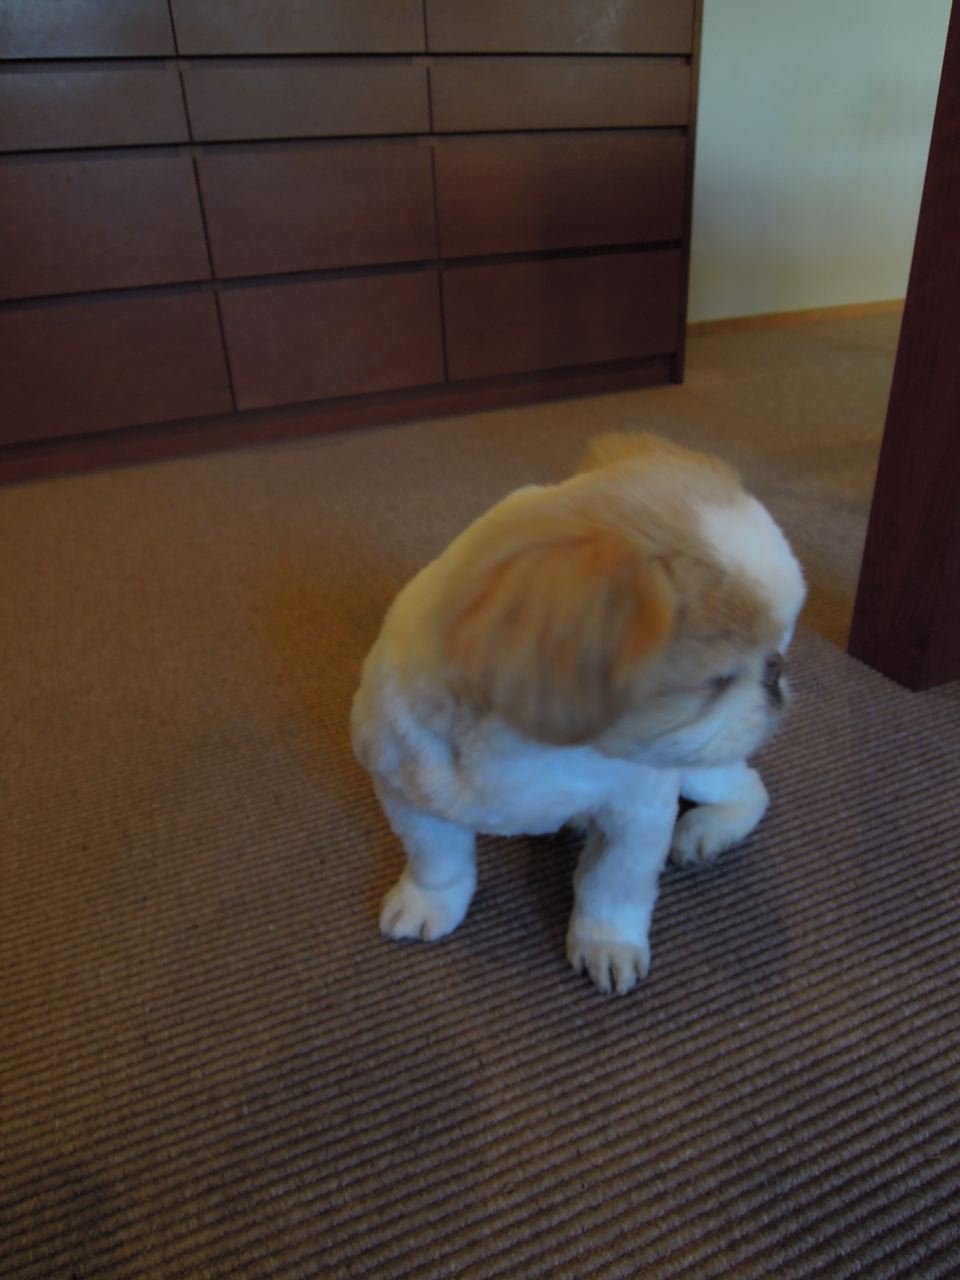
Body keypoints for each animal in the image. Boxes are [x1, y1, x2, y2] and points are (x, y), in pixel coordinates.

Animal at [351, 434, 805, 993]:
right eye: (717, 680)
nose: (776, 670)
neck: (530, 750)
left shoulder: (638, 812)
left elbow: (611, 888)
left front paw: (606, 944)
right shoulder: (409, 795)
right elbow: (439, 863)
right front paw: (428, 903)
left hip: (697, 767)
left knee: (750, 790)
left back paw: (704, 833)